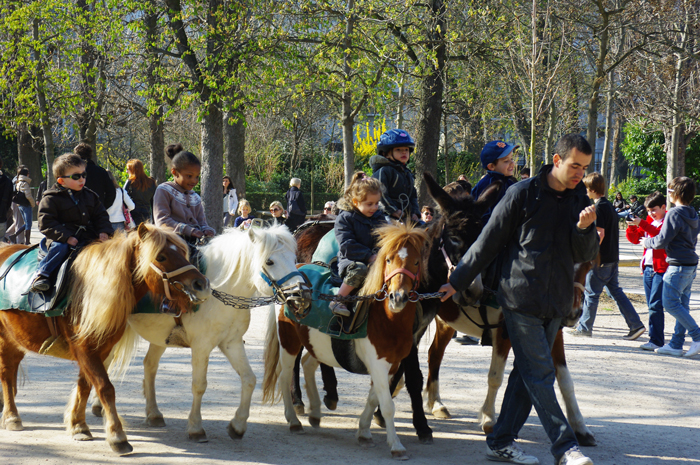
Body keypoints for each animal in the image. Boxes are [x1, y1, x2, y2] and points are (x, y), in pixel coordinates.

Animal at [0, 223, 211, 454]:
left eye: (183, 252)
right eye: (161, 256)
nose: (201, 284)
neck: (92, 292)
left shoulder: (100, 350)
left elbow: (85, 385)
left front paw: (79, 426)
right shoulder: (84, 349)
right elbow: (105, 387)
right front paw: (117, 436)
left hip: (15, 339)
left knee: (11, 369)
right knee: (6, 373)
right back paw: (11, 417)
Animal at [91, 225, 310, 442]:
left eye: (293, 258)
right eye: (269, 261)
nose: (302, 294)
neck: (218, 294)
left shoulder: (232, 342)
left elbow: (249, 379)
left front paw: (238, 425)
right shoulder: (201, 347)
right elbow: (199, 385)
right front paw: (196, 427)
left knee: (149, 365)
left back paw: (152, 414)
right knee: (107, 360)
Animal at [262, 222, 426, 460]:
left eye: (416, 261)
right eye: (388, 260)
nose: (398, 297)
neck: (386, 317)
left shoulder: (392, 364)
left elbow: (374, 398)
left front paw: (364, 432)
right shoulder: (378, 363)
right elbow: (386, 405)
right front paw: (396, 445)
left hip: (316, 344)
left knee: (308, 364)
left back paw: (315, 412)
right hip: (289, 340)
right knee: (284, 375)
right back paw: (294, 421)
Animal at [424, 258, 600, 446]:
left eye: (589, 264)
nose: (572, 314)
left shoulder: (554, 332)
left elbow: (566, 381)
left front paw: (580, 428)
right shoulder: (504, 331)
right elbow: (495, 377)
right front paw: (489, 418)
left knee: (434, 355)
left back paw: (436, 403)